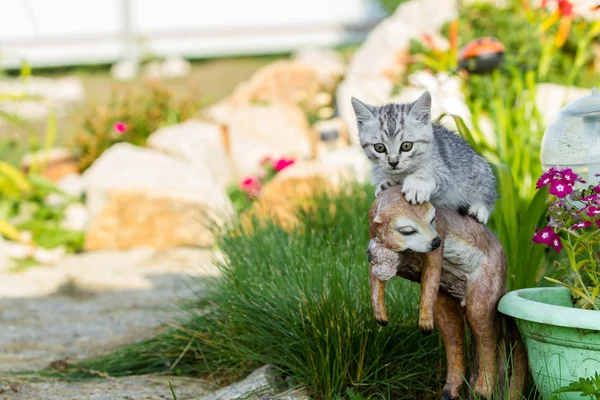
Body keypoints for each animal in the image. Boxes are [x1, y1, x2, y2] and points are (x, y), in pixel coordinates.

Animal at [352, 91, 496, 225]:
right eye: (379, 147)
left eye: (406, 146)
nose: (393, 162)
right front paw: (386, 182)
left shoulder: (445, 172)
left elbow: (429, 175)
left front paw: (417, 186)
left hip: (480, 171)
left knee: (488, 191)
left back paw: (480, 209)